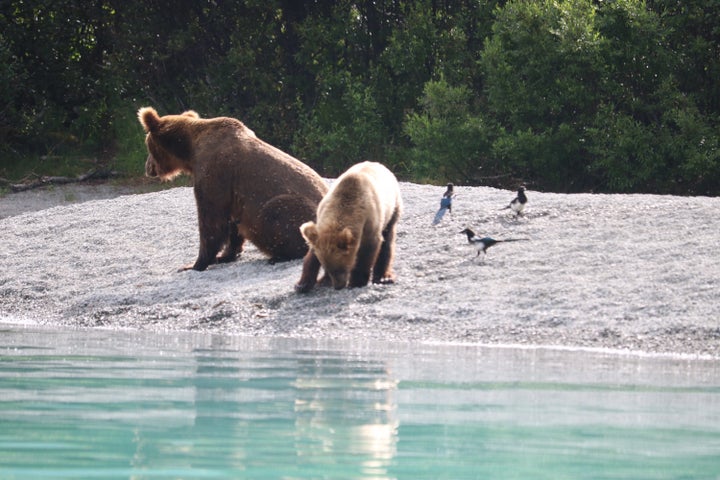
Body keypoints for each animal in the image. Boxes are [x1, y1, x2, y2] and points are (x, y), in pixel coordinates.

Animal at [139, 106, 330, 270]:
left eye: (148, 146)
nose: (147, 168)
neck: (191, 152)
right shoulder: (232, 192)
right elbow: (231, 223)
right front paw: (225, 255)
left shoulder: (215, 172)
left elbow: (211, 219)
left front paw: (195, 263)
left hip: (294, 210)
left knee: (275, 212)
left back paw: (279, 255)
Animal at [296, 160, 402, 292]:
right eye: (328, 268)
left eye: (341, 268)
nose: (338, 286)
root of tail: (378, 164)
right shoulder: (321, 224)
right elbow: (312, 254)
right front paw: (303, 284)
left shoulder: (370, 222)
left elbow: (367, 252)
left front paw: (356, 281)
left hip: (392, 209)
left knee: (387, 241)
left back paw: (384, 277)